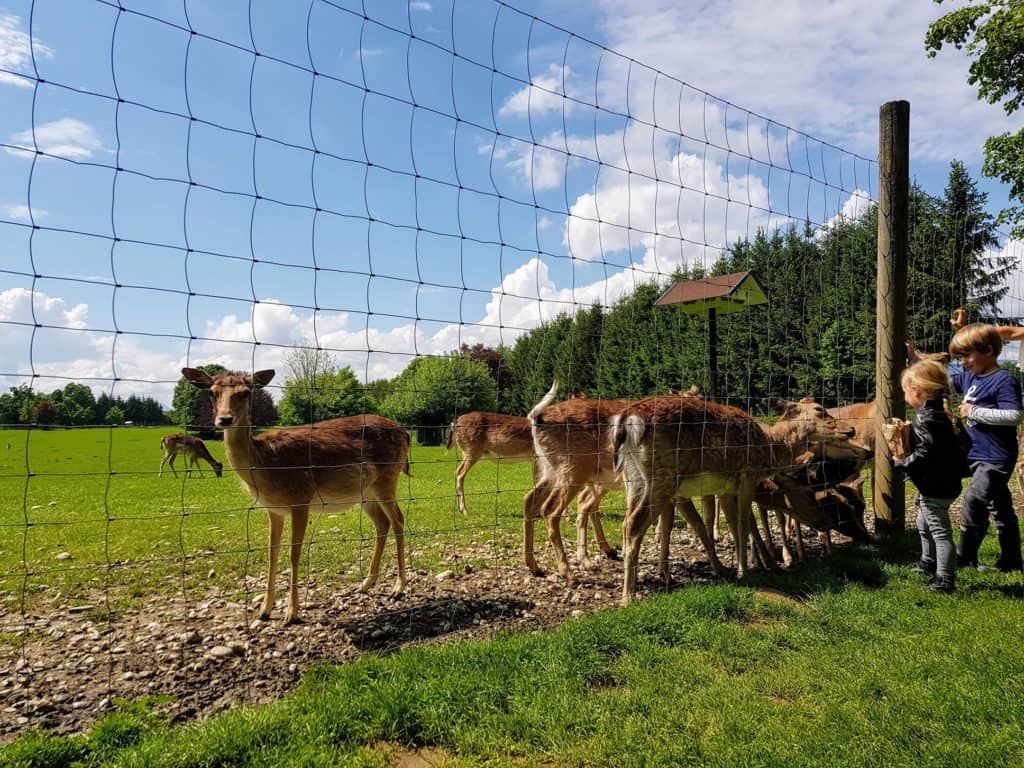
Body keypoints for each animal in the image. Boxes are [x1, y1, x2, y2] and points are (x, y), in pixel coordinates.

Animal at [182, 366, 409, 626]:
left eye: (246, 392)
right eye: (212, 392)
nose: (225, 419)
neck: (267, 466)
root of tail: (405, 432)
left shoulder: (301, 499)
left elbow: (293, 553)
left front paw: (291, 613)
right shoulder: (273, 509)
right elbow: (272, 552)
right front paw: (264, 610)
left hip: (388, 478)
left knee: (398, 520)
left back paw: (399, 587)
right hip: (366, 492)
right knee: (382, 523)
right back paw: (366, 583)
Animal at [610, 393, 868, 606]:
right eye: (819, 409)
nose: (851, 429)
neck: (770, 447)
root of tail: (627, 421)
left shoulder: (726, 487)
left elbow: (735, 525)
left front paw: (743, 567)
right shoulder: (746, 477)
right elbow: (743, 525)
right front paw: (745, 572)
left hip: (632, 478)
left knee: (625, 523)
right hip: (662, 477)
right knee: (634, 525)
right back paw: (628, 596)